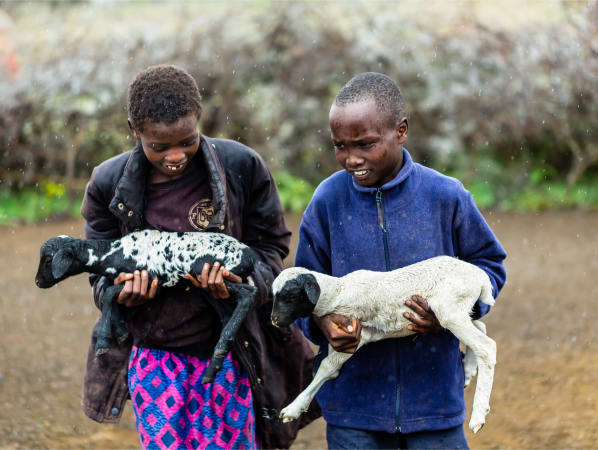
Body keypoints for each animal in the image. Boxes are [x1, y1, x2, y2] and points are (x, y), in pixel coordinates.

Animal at [36, 229, 258, 384]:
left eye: (48, 260)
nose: (38, 282)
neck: (114, 253)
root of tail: (249, 256)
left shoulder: (151, 279)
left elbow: (108, 294)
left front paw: (103, 343)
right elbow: (109, 293)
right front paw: (121, 332)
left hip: (215, 273)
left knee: (248, 294)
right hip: (208, 286)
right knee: (228, 312)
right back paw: (215, 363)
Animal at [272, 255, 496, 434]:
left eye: (291, 296)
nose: (274, 320)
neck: (338, 292)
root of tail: (481, 278)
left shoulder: (356, 332)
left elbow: (327, 366)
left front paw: (292, 408)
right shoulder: (360, 334)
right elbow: (330, 367)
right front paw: (295, 408)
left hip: (449, 310)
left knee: (486, 347)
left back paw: (478, 415)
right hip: (458, 311)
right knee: (482, 328)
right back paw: (468, 371)